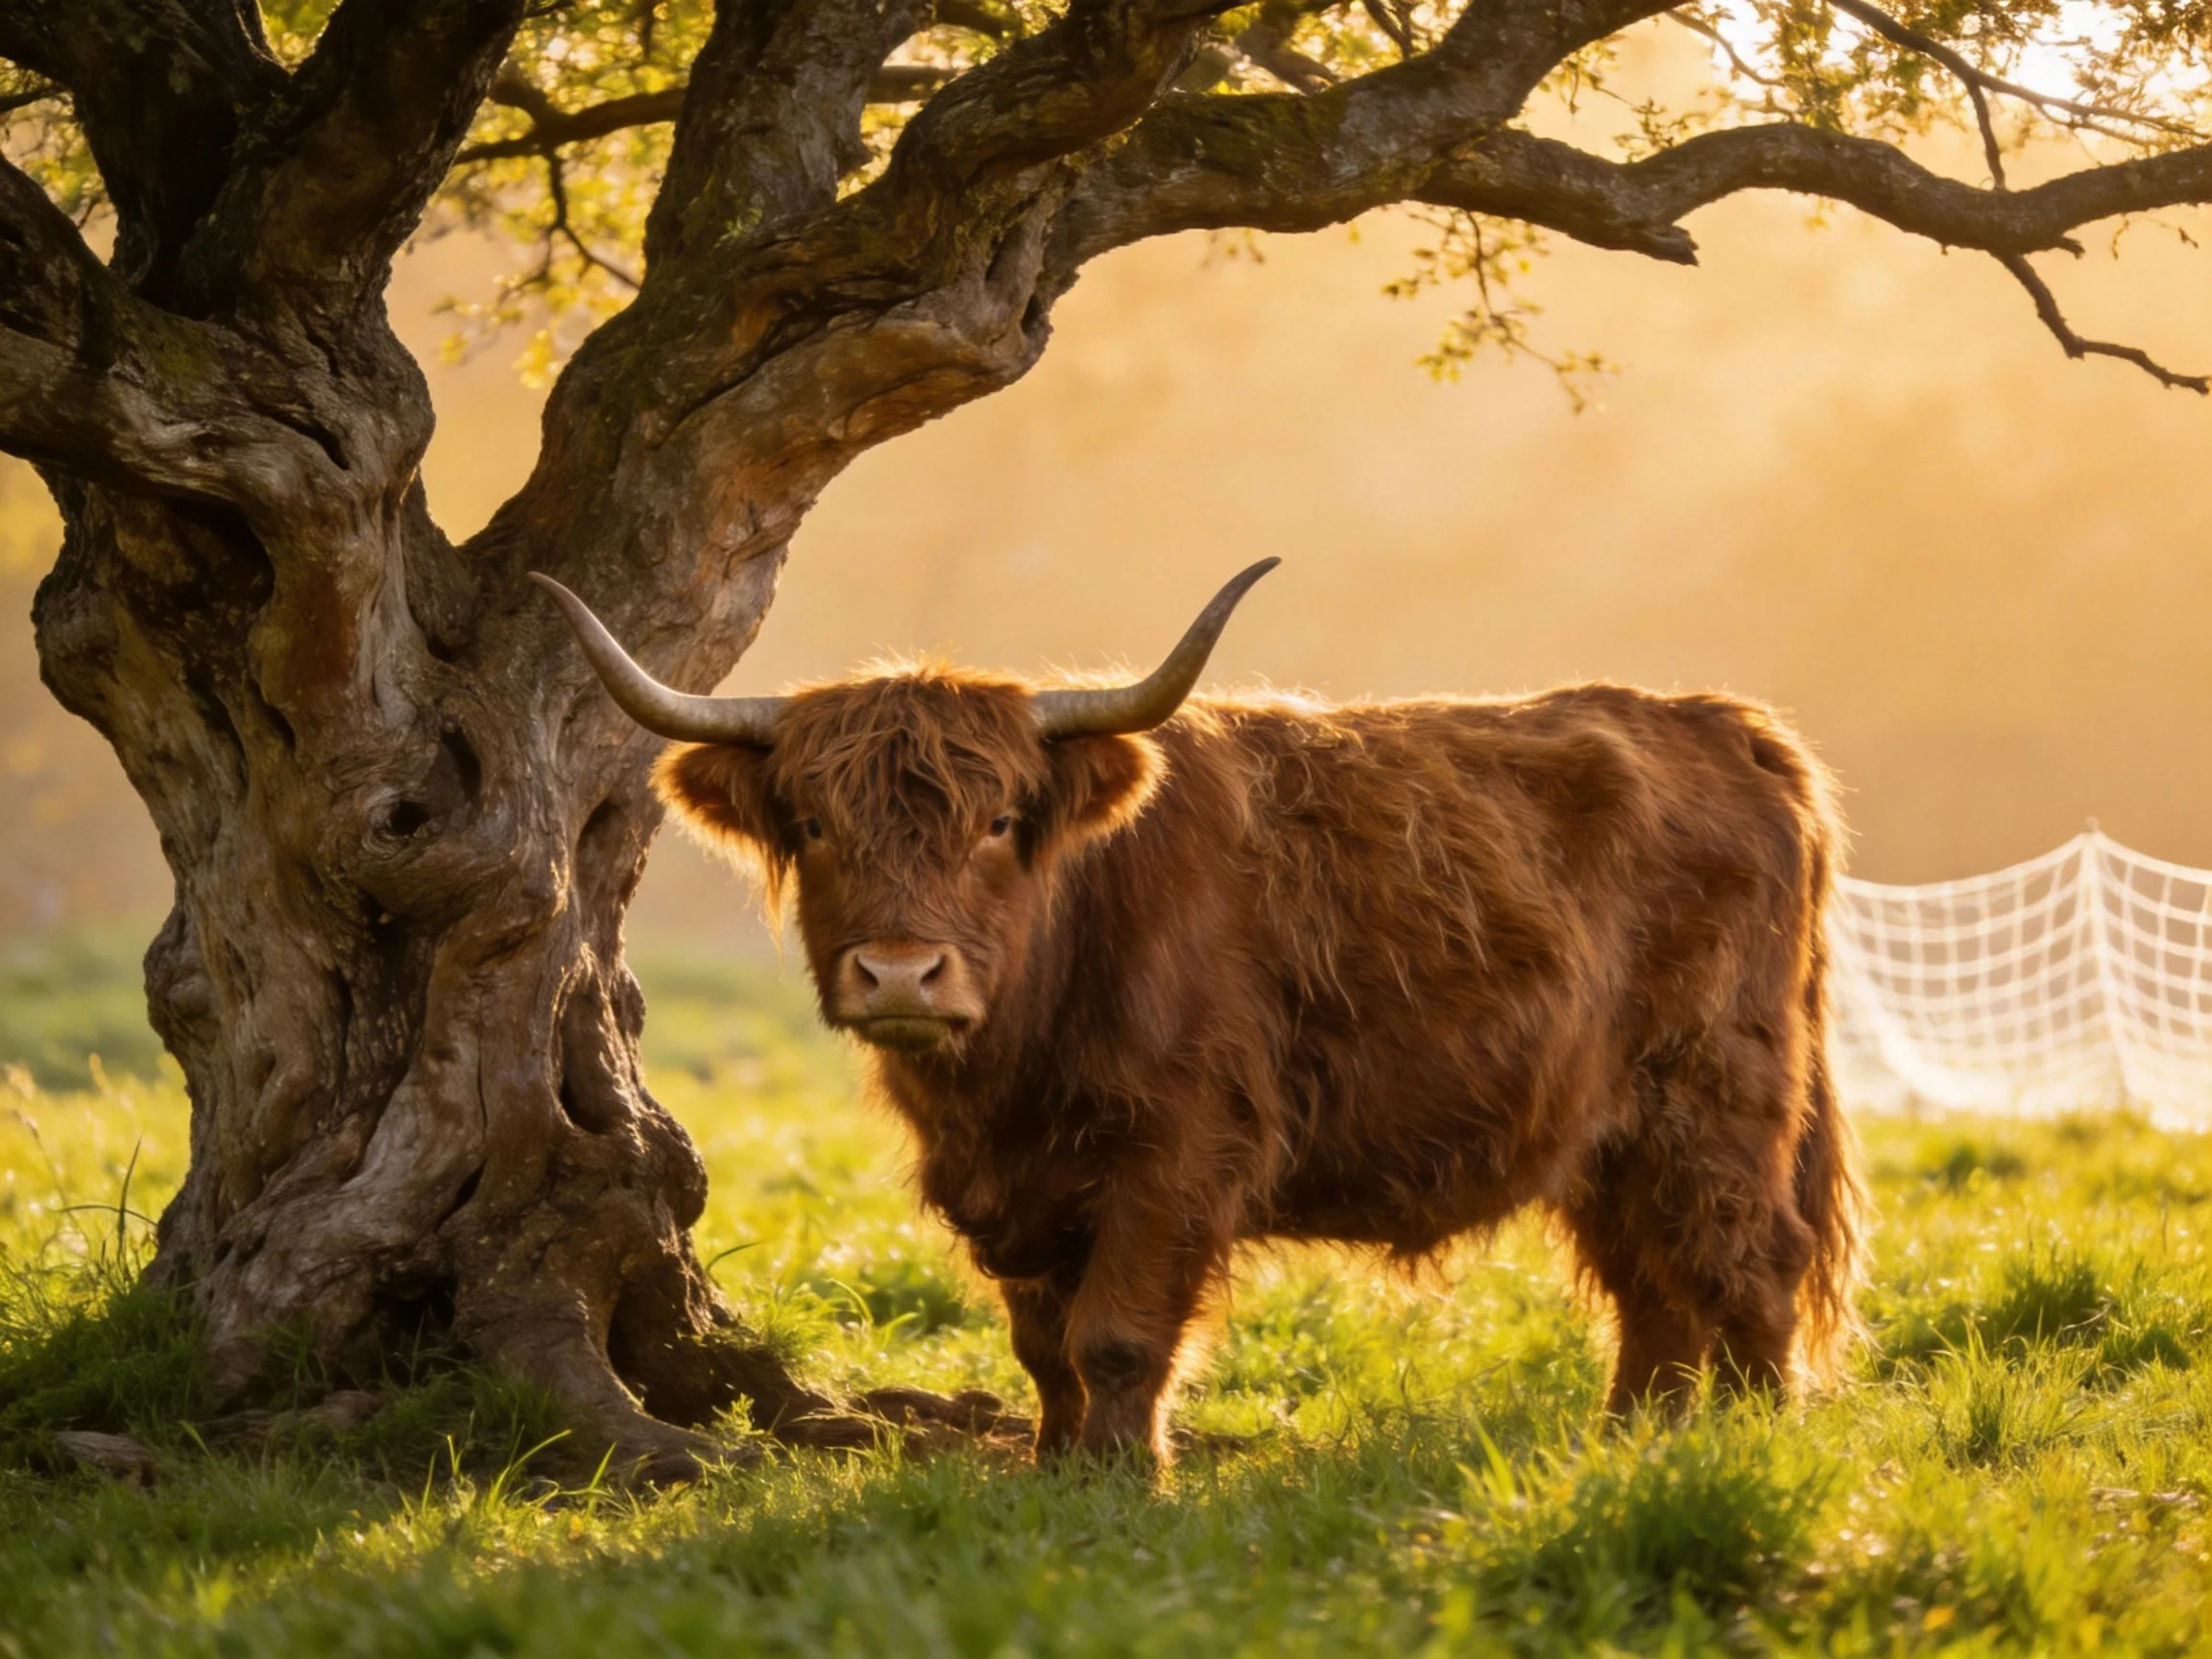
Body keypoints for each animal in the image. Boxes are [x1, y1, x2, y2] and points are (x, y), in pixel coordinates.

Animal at [536, 561, 1863, 1463]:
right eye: (815, 823)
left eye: (1002, 820)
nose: (903, 974)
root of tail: (1721, 722)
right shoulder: (1019, 1182)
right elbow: (1043, 1343)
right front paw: (1059, 1470)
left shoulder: (1180, 1146)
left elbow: (1118, 1333)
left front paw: (1126, 1483)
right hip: (1607, 1125)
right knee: (1651, 1284)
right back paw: (1638, 1440)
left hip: (1719, 1090)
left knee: (1748, 1260)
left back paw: (1746, 1443)